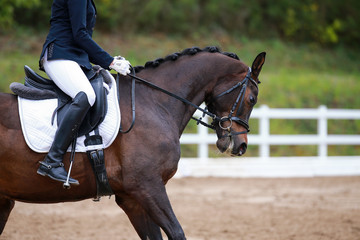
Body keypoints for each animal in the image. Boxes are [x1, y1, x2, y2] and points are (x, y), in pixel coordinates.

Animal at [0, 47, 264, 240]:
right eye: (252, 98)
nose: (240, 146)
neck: (153, 102)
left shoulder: (131, 197)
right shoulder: (148, 187)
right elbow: (177, 233)